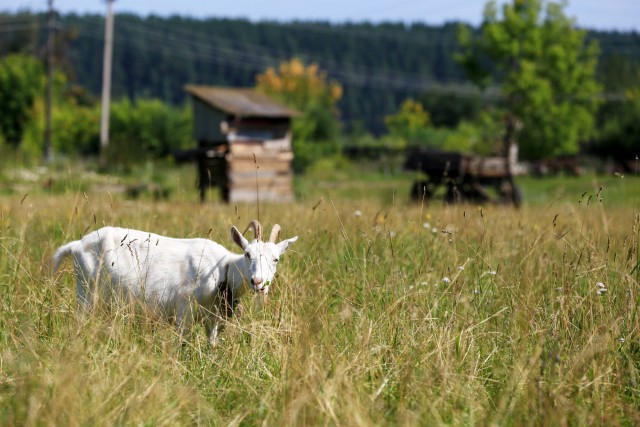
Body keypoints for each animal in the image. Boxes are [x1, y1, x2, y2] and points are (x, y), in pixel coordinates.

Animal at [52, 221, 298, 344]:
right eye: (247, 254)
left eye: (276, 259)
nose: (258, 282)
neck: (223, 269)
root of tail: (76, 245)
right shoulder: (184, 309)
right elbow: (183, 342)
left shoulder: (212, 317)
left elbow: (212, 344)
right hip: (86, 292)